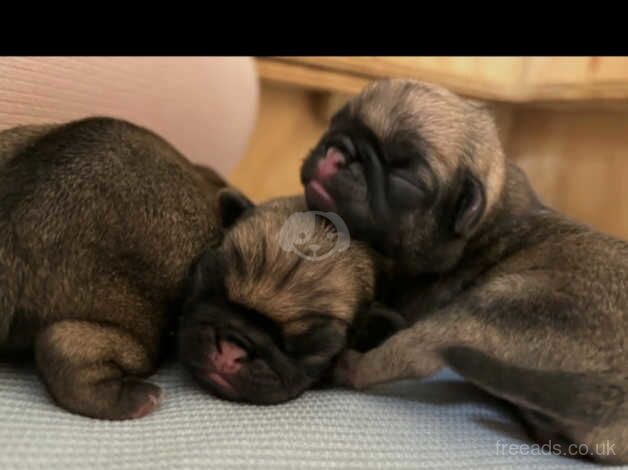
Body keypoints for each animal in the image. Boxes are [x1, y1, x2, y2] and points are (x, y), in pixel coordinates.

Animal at [300, 79, 628, 464]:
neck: (486, 220)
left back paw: (349, 366)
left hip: (489, 307)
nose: (337, 151)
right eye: (334, 125)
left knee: (407, 356)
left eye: (403, 174)